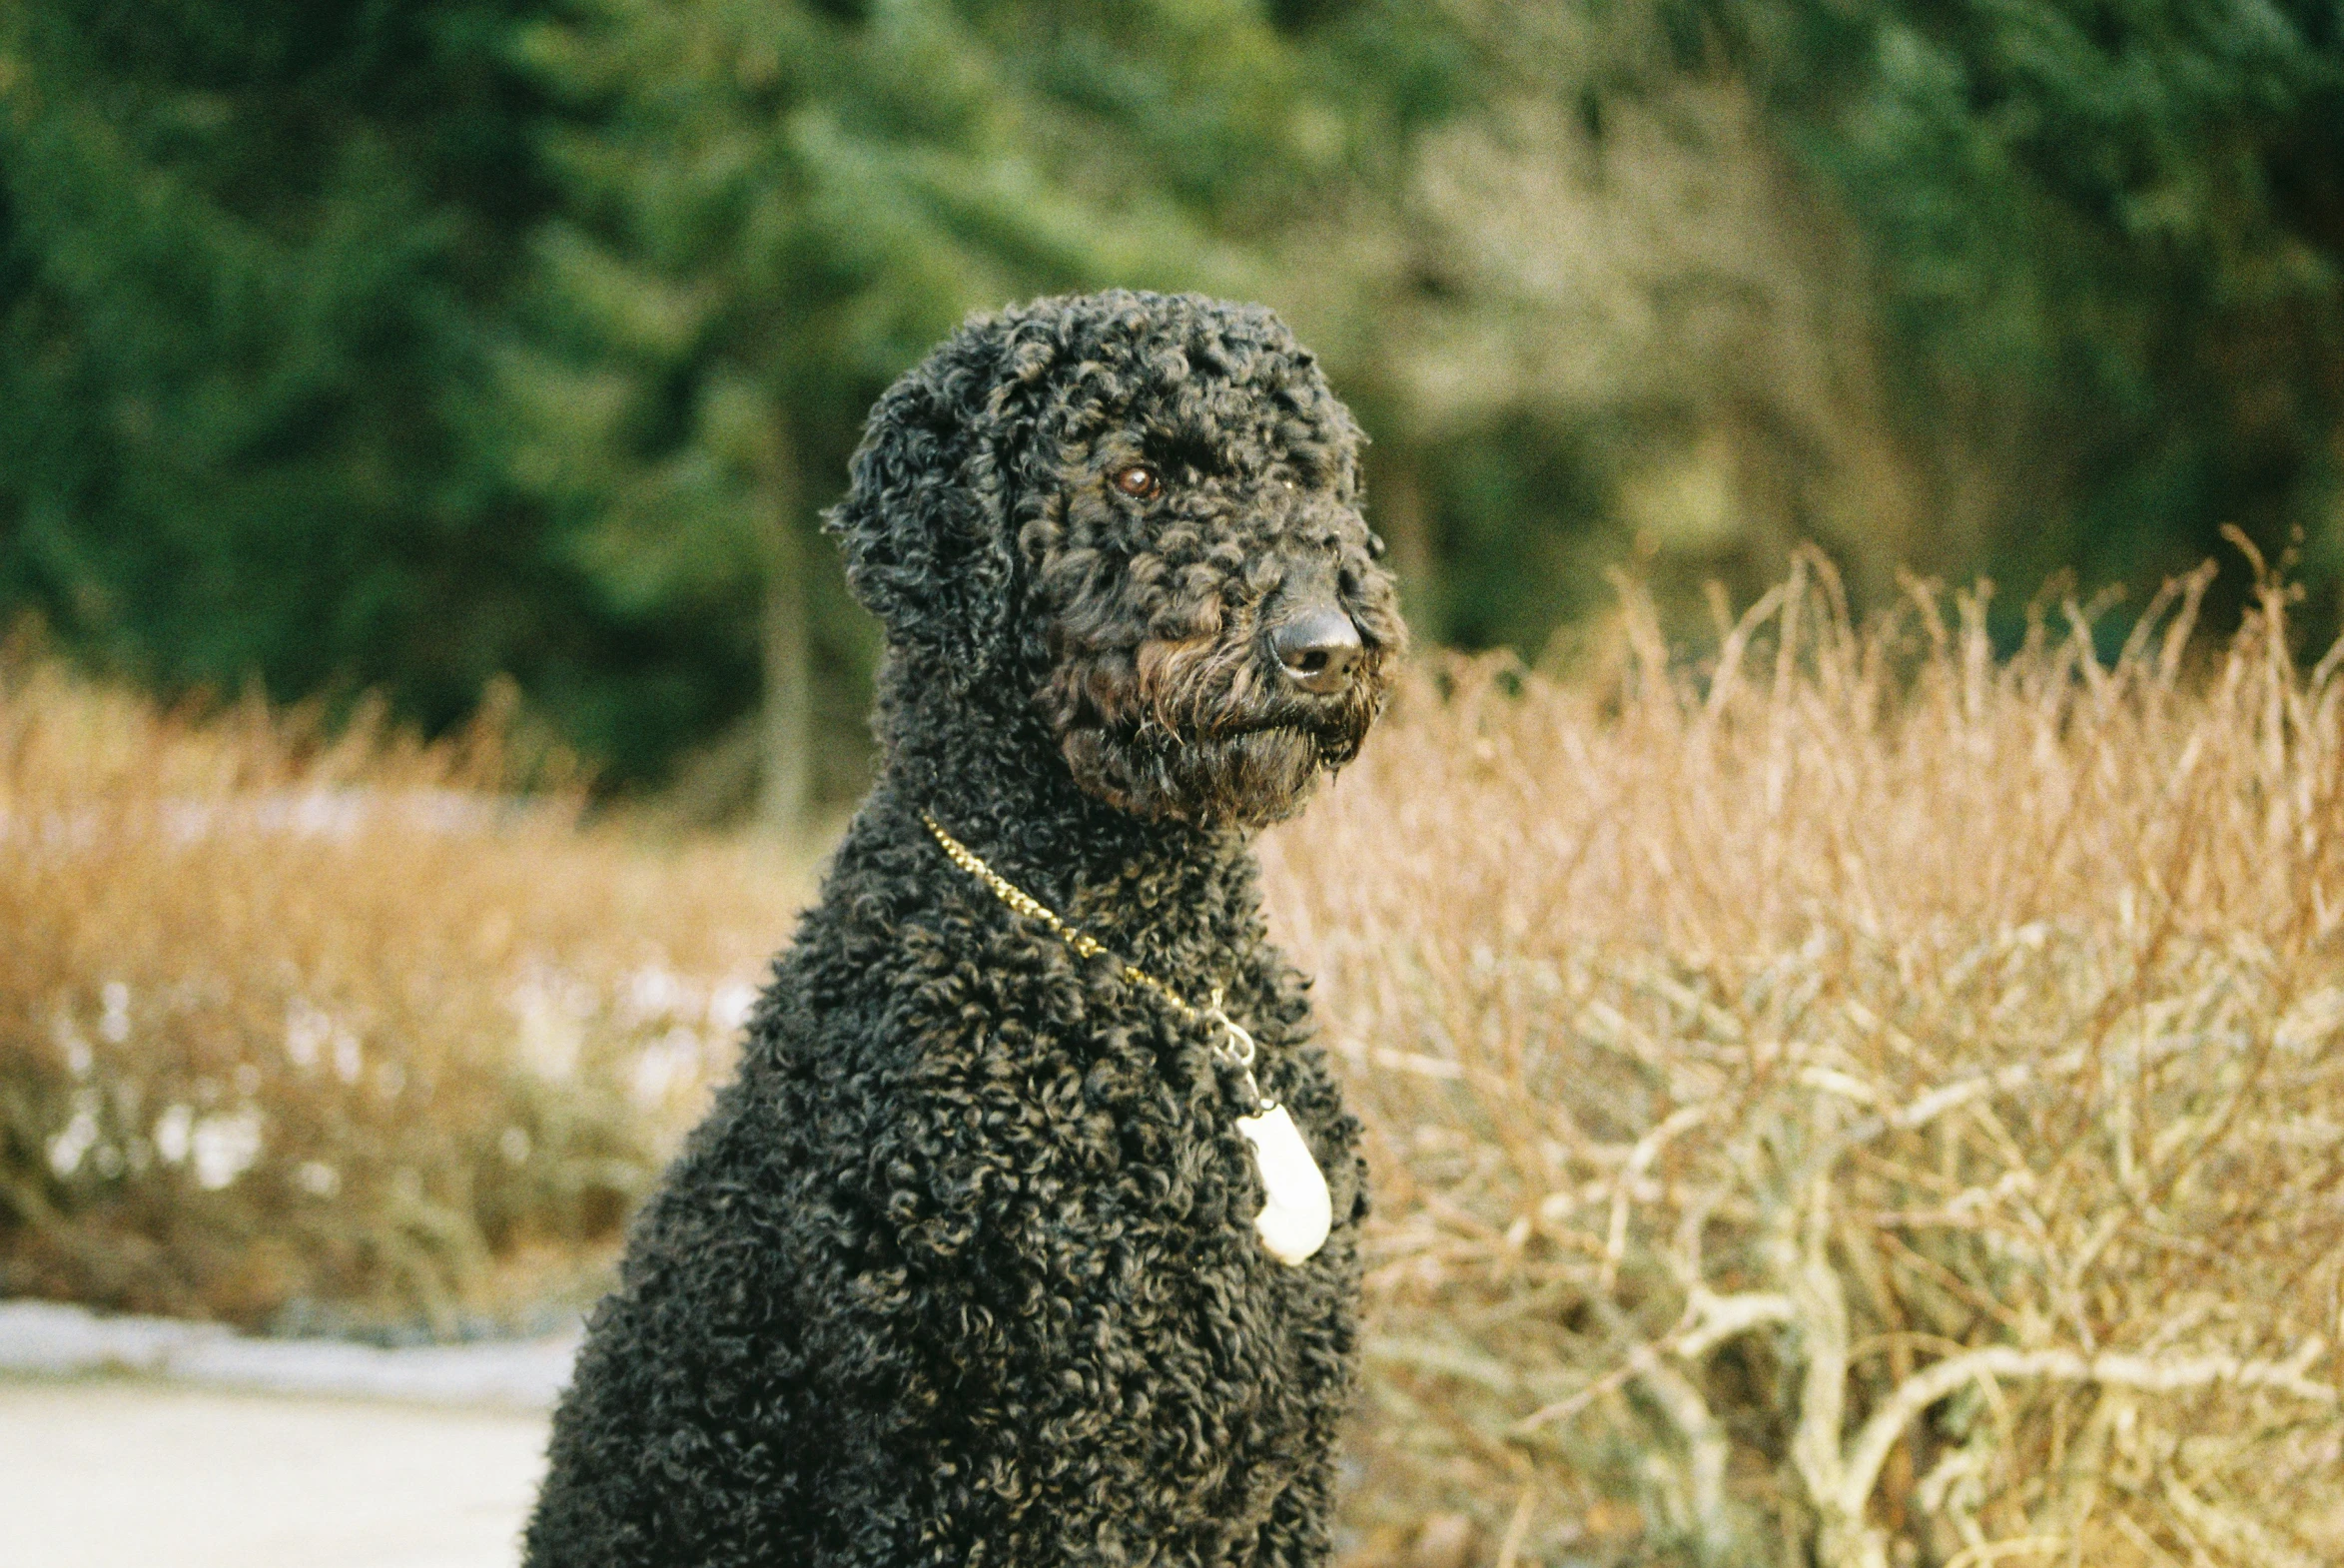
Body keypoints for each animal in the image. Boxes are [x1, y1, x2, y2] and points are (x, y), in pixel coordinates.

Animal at [529, 293, 1396, 1565]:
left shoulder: (1276, 1468)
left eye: (1307, 474)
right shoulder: (987, 1472)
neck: (1128, 966)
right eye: (1135, 474)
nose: (1322, 644)